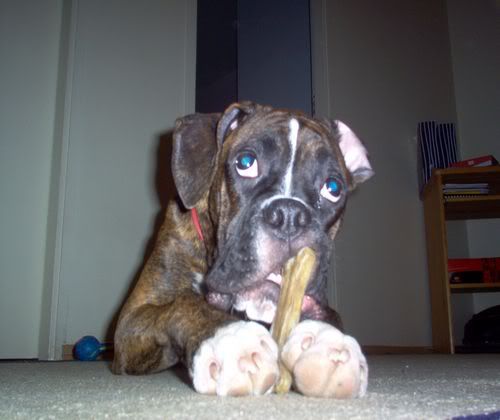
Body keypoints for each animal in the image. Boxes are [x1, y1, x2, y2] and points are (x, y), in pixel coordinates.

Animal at [112, 102, 373, 398]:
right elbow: (186, 304)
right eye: (246, 163)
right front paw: (231, 337)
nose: (290, 215)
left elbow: (331, 315)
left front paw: (325, 339)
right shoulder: (132, 321)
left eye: (333, 188)